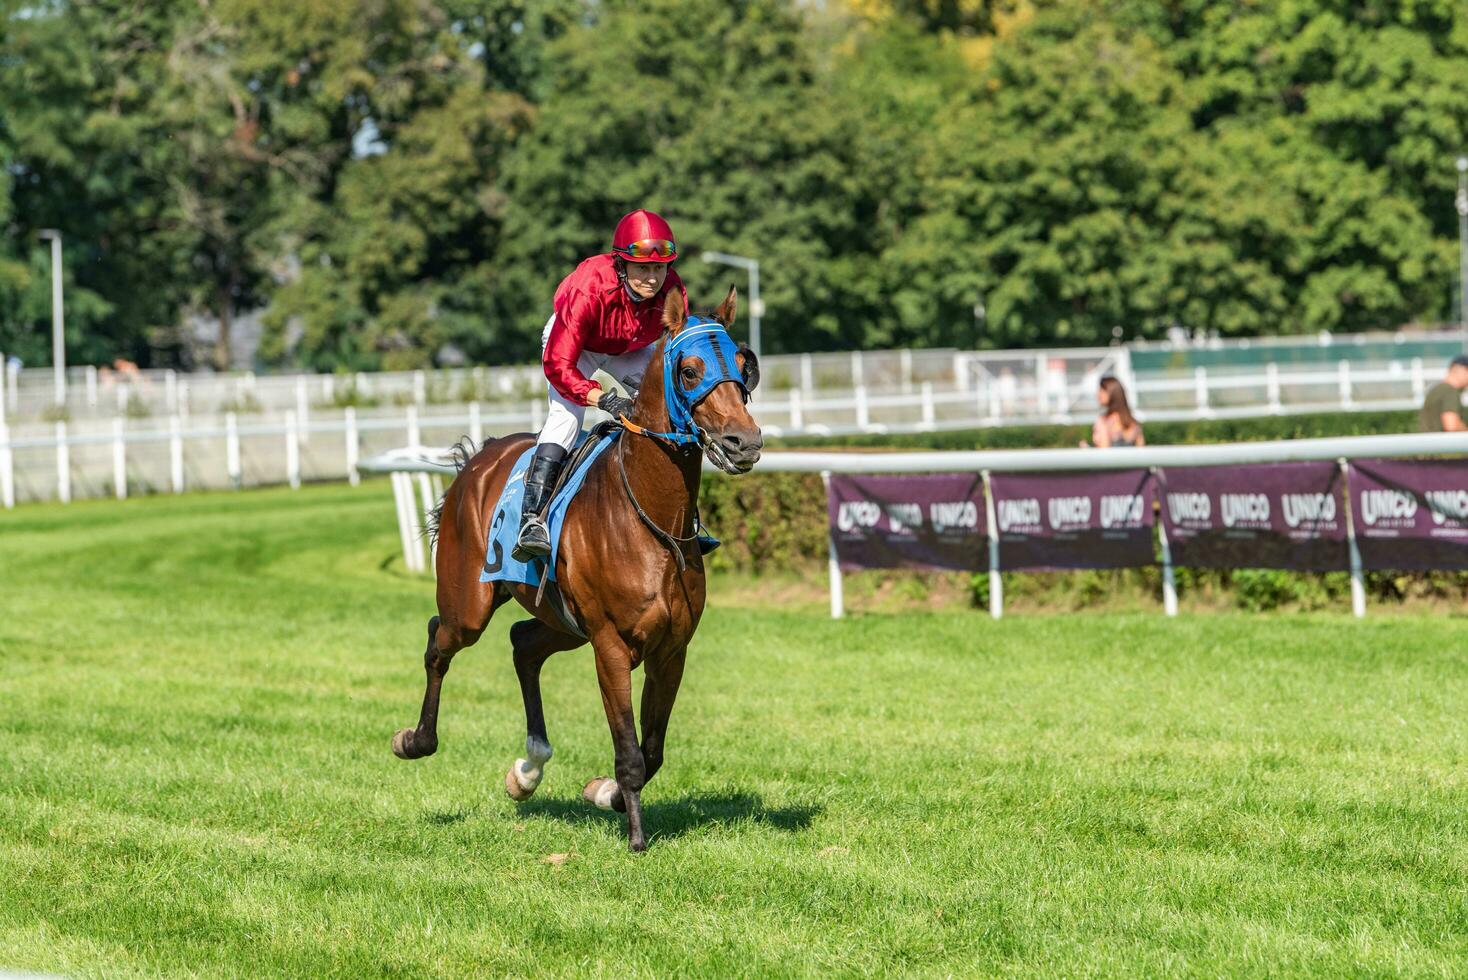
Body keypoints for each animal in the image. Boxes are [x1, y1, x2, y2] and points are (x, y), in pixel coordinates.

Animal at [390, 284, 763, 850]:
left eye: (744, 365)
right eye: (689, 370)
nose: (745, 441)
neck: (652, 519)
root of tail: (481, 457)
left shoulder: (670, 650)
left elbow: (652, 751)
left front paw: (605, 793)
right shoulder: (610, 646)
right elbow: (630, 751)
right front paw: (636, 838)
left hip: (561, 620)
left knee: (523, 643)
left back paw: (527, 770)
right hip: (470, 606)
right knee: (439, 639)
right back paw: (416, 740)